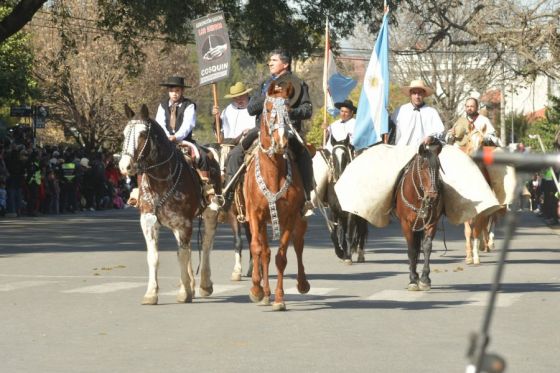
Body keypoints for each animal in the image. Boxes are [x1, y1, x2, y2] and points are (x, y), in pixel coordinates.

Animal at [118, 103, 219, 304]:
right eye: (125, 133)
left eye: (142, 134)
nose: (124, 166)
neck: (161, 182)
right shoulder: (149, 222)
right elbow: (154, 257)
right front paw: (151, 293)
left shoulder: (184, 223)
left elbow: (183, 255)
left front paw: (184, 292)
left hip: (210, 214)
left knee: (205, 245)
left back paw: (204, 285)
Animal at [243, 81, 310, 310]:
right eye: (269, 109)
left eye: (288, 110)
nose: (281, 142)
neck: (273, 173)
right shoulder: (255, 215)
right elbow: (257, 248)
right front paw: (256, 290)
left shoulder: (289, 217)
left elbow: (282, 257)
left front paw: (280, 299)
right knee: (264, 251)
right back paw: (264, 293)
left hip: (300, 219)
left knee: (298, 245)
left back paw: (302, 284)